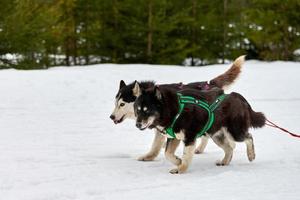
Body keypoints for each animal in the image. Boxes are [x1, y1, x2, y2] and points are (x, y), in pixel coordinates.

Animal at [109, 55, 245, 161]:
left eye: (122, 104)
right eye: (115, 103)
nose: (111, 116)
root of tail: (210, 84)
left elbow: (155, 146)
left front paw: (149, 157)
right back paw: (201, 149)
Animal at [133, 85, 264, 173]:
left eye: (147, 110)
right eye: (138, 110)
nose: (137, 124)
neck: (176, 110)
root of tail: (236, 96)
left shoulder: (189, 138)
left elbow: (186, 156)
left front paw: (181, 168)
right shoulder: (174, 137)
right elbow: (167, 153)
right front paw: (178, 161)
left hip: (234, 132)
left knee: (249, 137)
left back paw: (251, 155)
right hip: (217, 136)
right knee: (230, 149)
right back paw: (225, 161)